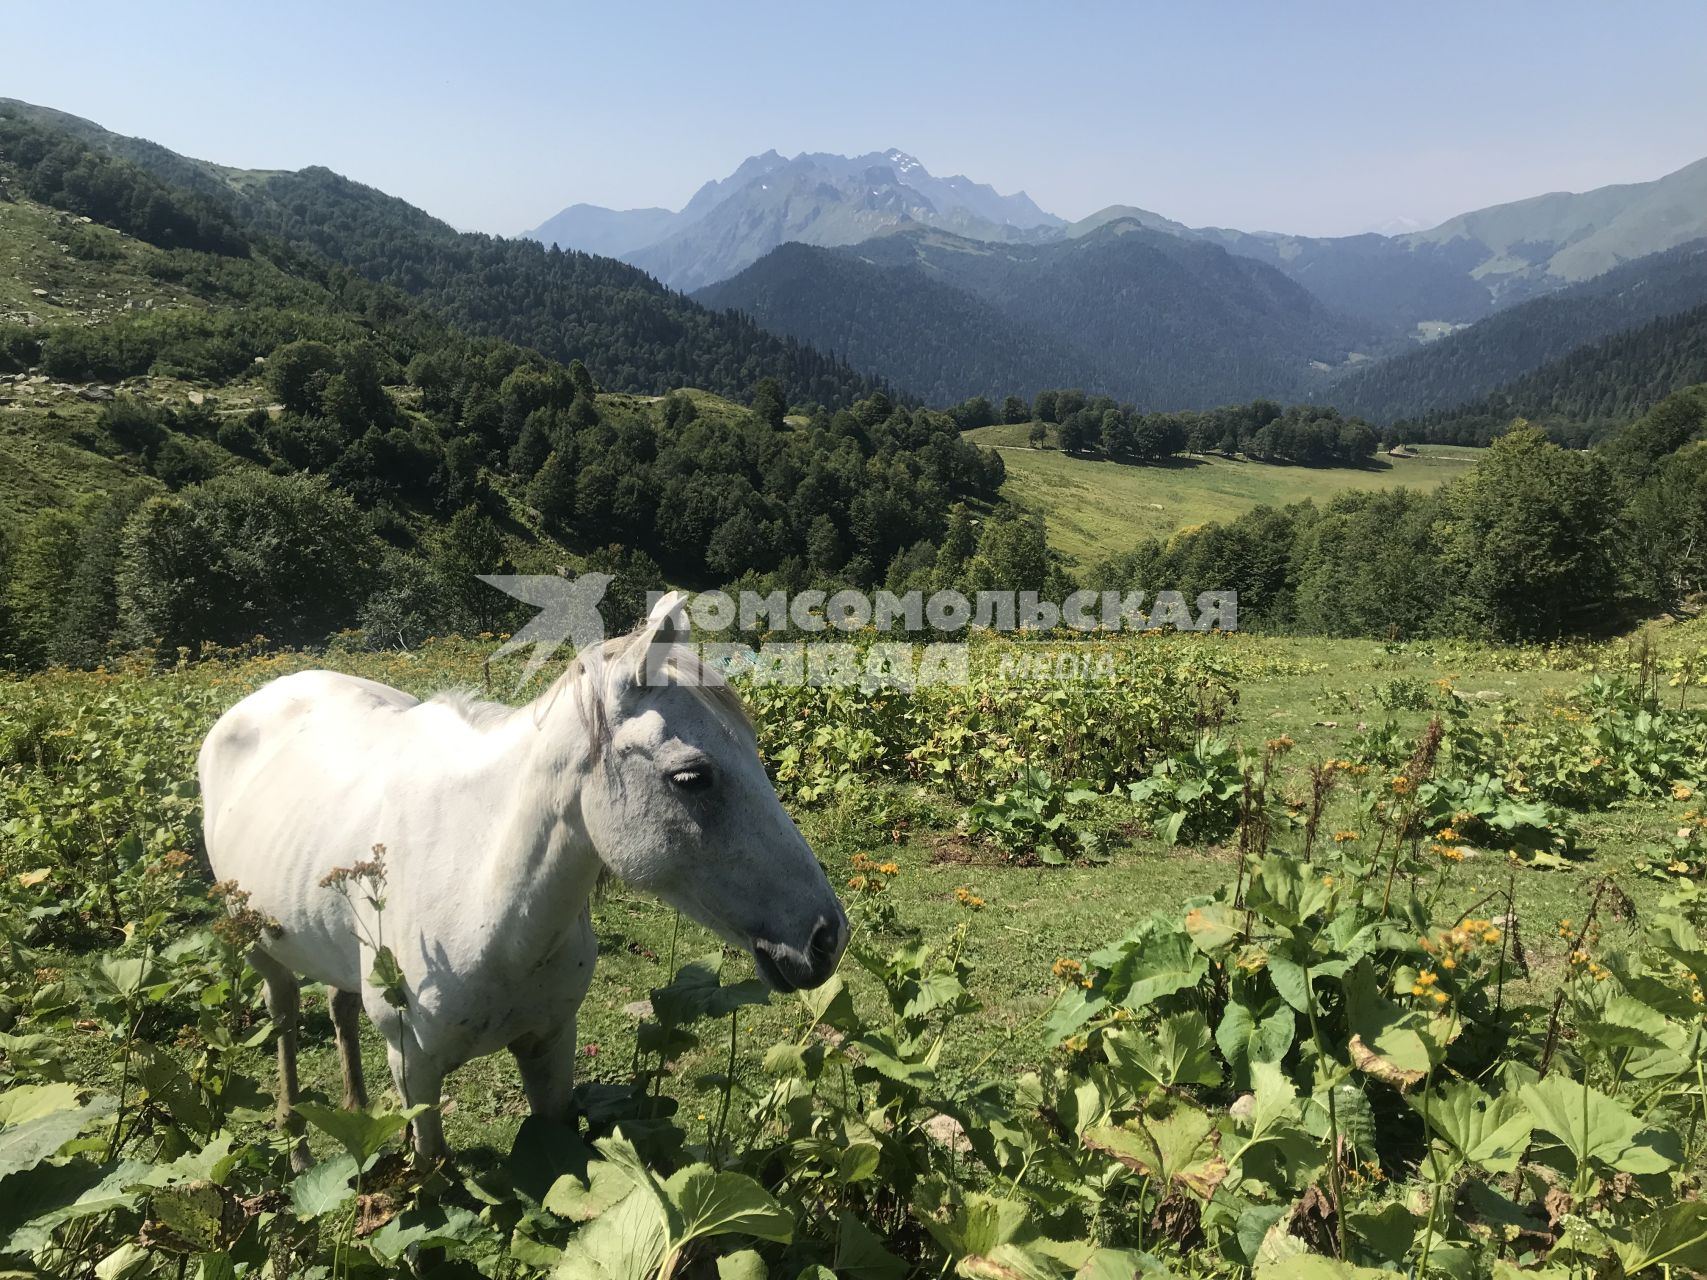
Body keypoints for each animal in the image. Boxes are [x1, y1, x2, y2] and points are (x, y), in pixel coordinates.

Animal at [199, 597, 846, 1167]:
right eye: (692, 777)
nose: (827, 937)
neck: (489, 904)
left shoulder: (551, 1045)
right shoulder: (414, 1069)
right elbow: (433, 1169)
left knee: (340, 1005)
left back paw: (356, 1118)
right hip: (259, 949)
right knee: (284, 1017)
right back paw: (298, 1147)